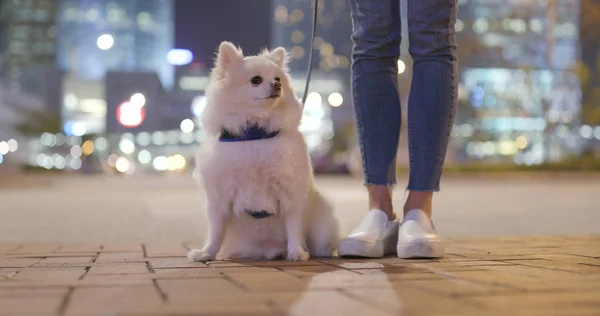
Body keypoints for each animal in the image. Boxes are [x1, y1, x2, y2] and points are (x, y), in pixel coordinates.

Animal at [186, 42, 338, 264]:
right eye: (256, 80)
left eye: (278, 79)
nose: (277, 85)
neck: (255, 134)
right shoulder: (220, 197)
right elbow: (216, 230)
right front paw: (207, 252)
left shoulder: (291, 194)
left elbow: (294, 227)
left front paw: (296, 252)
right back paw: (273, 252)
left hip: (323, 226)